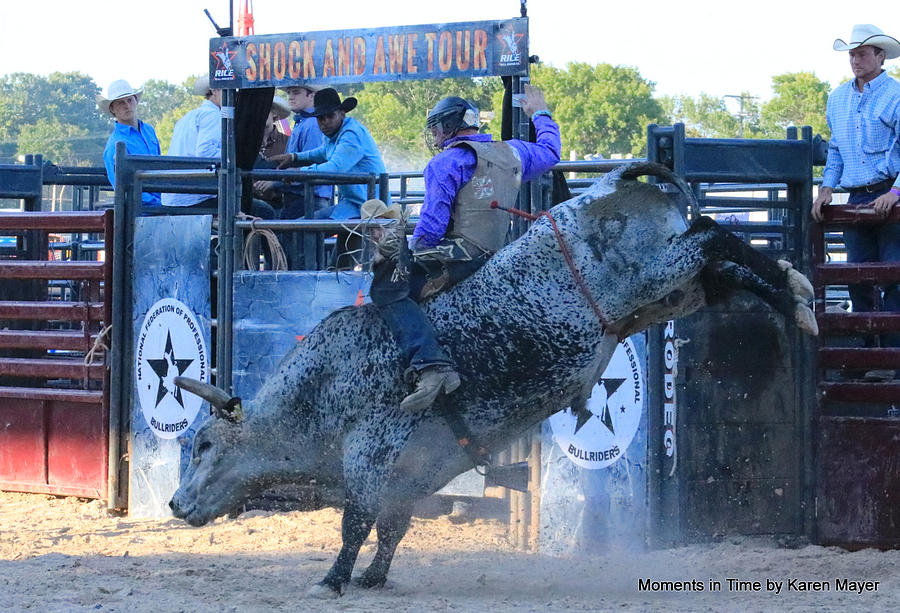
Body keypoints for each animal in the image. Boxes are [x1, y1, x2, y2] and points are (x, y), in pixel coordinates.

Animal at [167, 160, 816, 596]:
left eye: (204, 445)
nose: (175, 504)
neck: (319, 389)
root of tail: (610, 182)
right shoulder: (414, 470)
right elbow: (393, 526)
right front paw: (375, 576)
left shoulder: (371, 451)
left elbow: (355, 521)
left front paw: (333, 578)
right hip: (671, 293)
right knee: (723, 267)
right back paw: (796, 295)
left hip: (656, 270)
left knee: (711, 233)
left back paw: (798, 291)